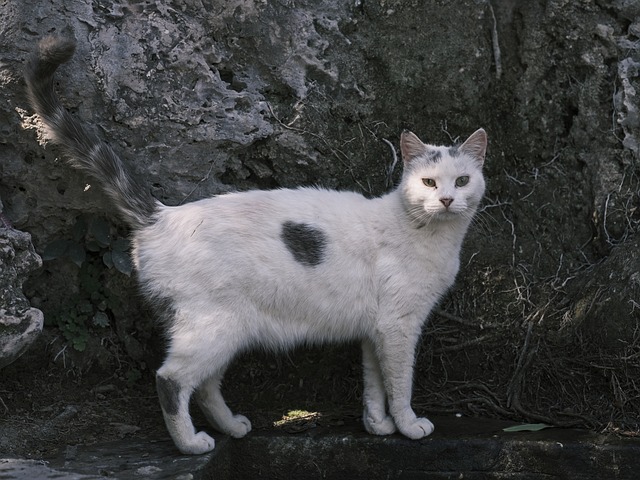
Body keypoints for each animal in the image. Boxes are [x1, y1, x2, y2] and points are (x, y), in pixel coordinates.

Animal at [23, 35, 484, 456]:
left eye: (462, 181)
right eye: (429, 182)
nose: (447, 199)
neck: (425, 231)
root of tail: (161, 214)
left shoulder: (376, 330)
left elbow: (375, 384)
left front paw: (378, 425)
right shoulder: (399, 327)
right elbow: (400, 383)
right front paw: (408, 425)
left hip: (221, 330)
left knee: (205, 386)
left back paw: (231, 427)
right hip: (213, 327)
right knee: (171, 380)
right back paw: (191, 444)